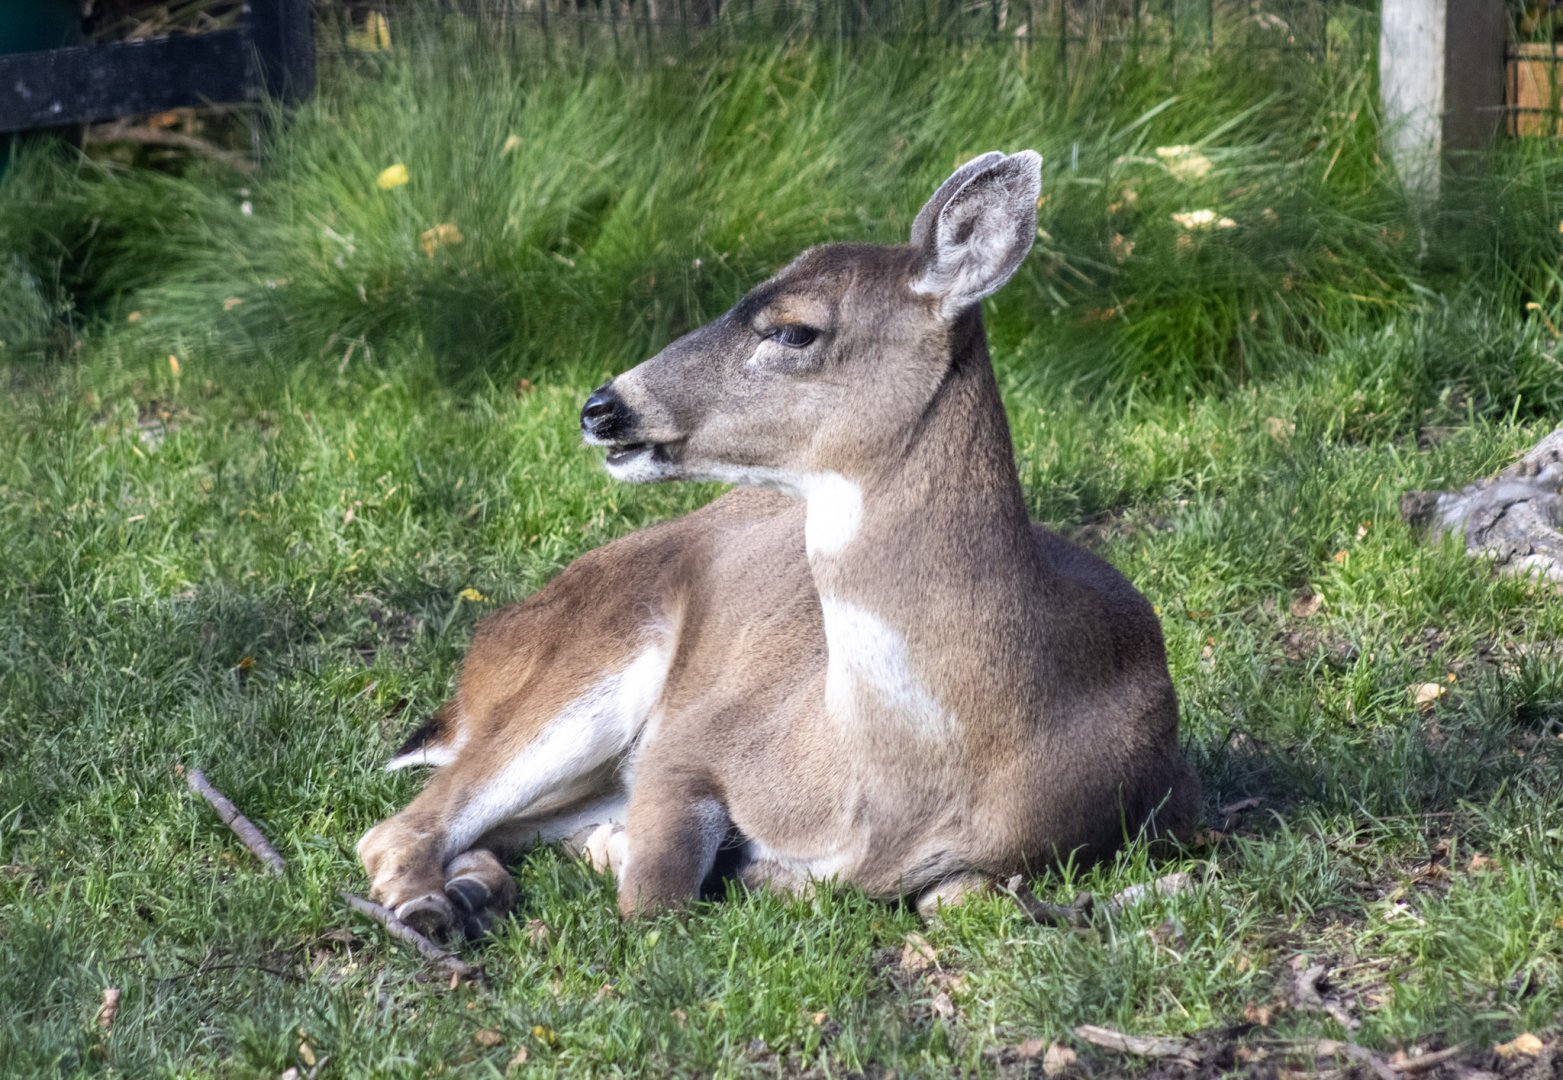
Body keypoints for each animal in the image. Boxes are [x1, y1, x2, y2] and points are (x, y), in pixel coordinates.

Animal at [356, 150, 1202, 937]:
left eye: (794, 328)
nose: (602, 407)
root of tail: (477, 664)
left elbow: (961, 896)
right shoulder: (691, 738)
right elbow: (658, 899)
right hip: (583, 661)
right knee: (402, 826)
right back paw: (437, 905)